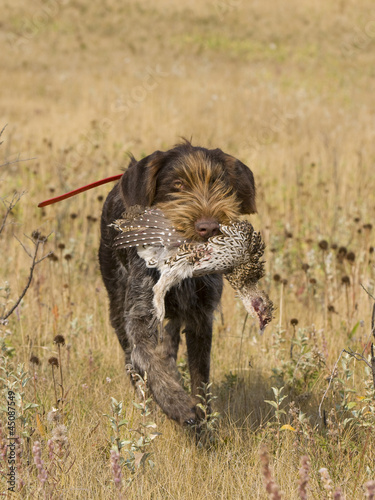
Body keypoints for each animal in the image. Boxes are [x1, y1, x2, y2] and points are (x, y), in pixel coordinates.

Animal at [99, 141, 258, 426]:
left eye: (218, 183)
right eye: (178, 185)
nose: (209, 227)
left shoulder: (201, 318)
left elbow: (200, 378)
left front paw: (202, 417)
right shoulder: (140, 316)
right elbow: (147, 358)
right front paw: (176, 403)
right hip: (116, 302)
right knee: (133, 361)